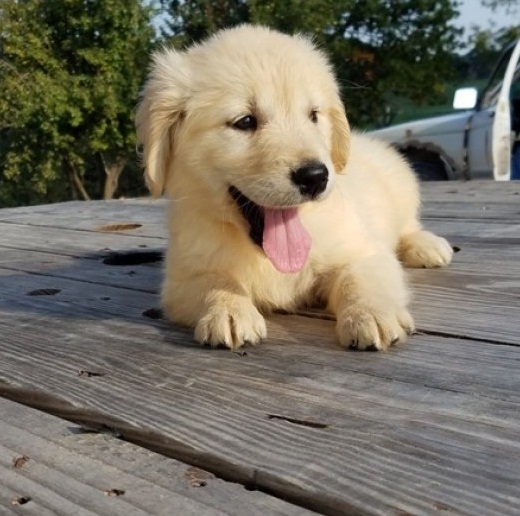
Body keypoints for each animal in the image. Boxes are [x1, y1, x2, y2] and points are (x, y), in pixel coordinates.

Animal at [136, 26, 452, 352]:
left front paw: (371, 314)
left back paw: (426, 245)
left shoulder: (362, 250)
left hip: (401, 179)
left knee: (408, 225)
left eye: (313, 115)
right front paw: (228, 310)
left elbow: (360, 279)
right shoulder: (183, 278)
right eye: (245, 121)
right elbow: (215, 282)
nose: (315, 176)